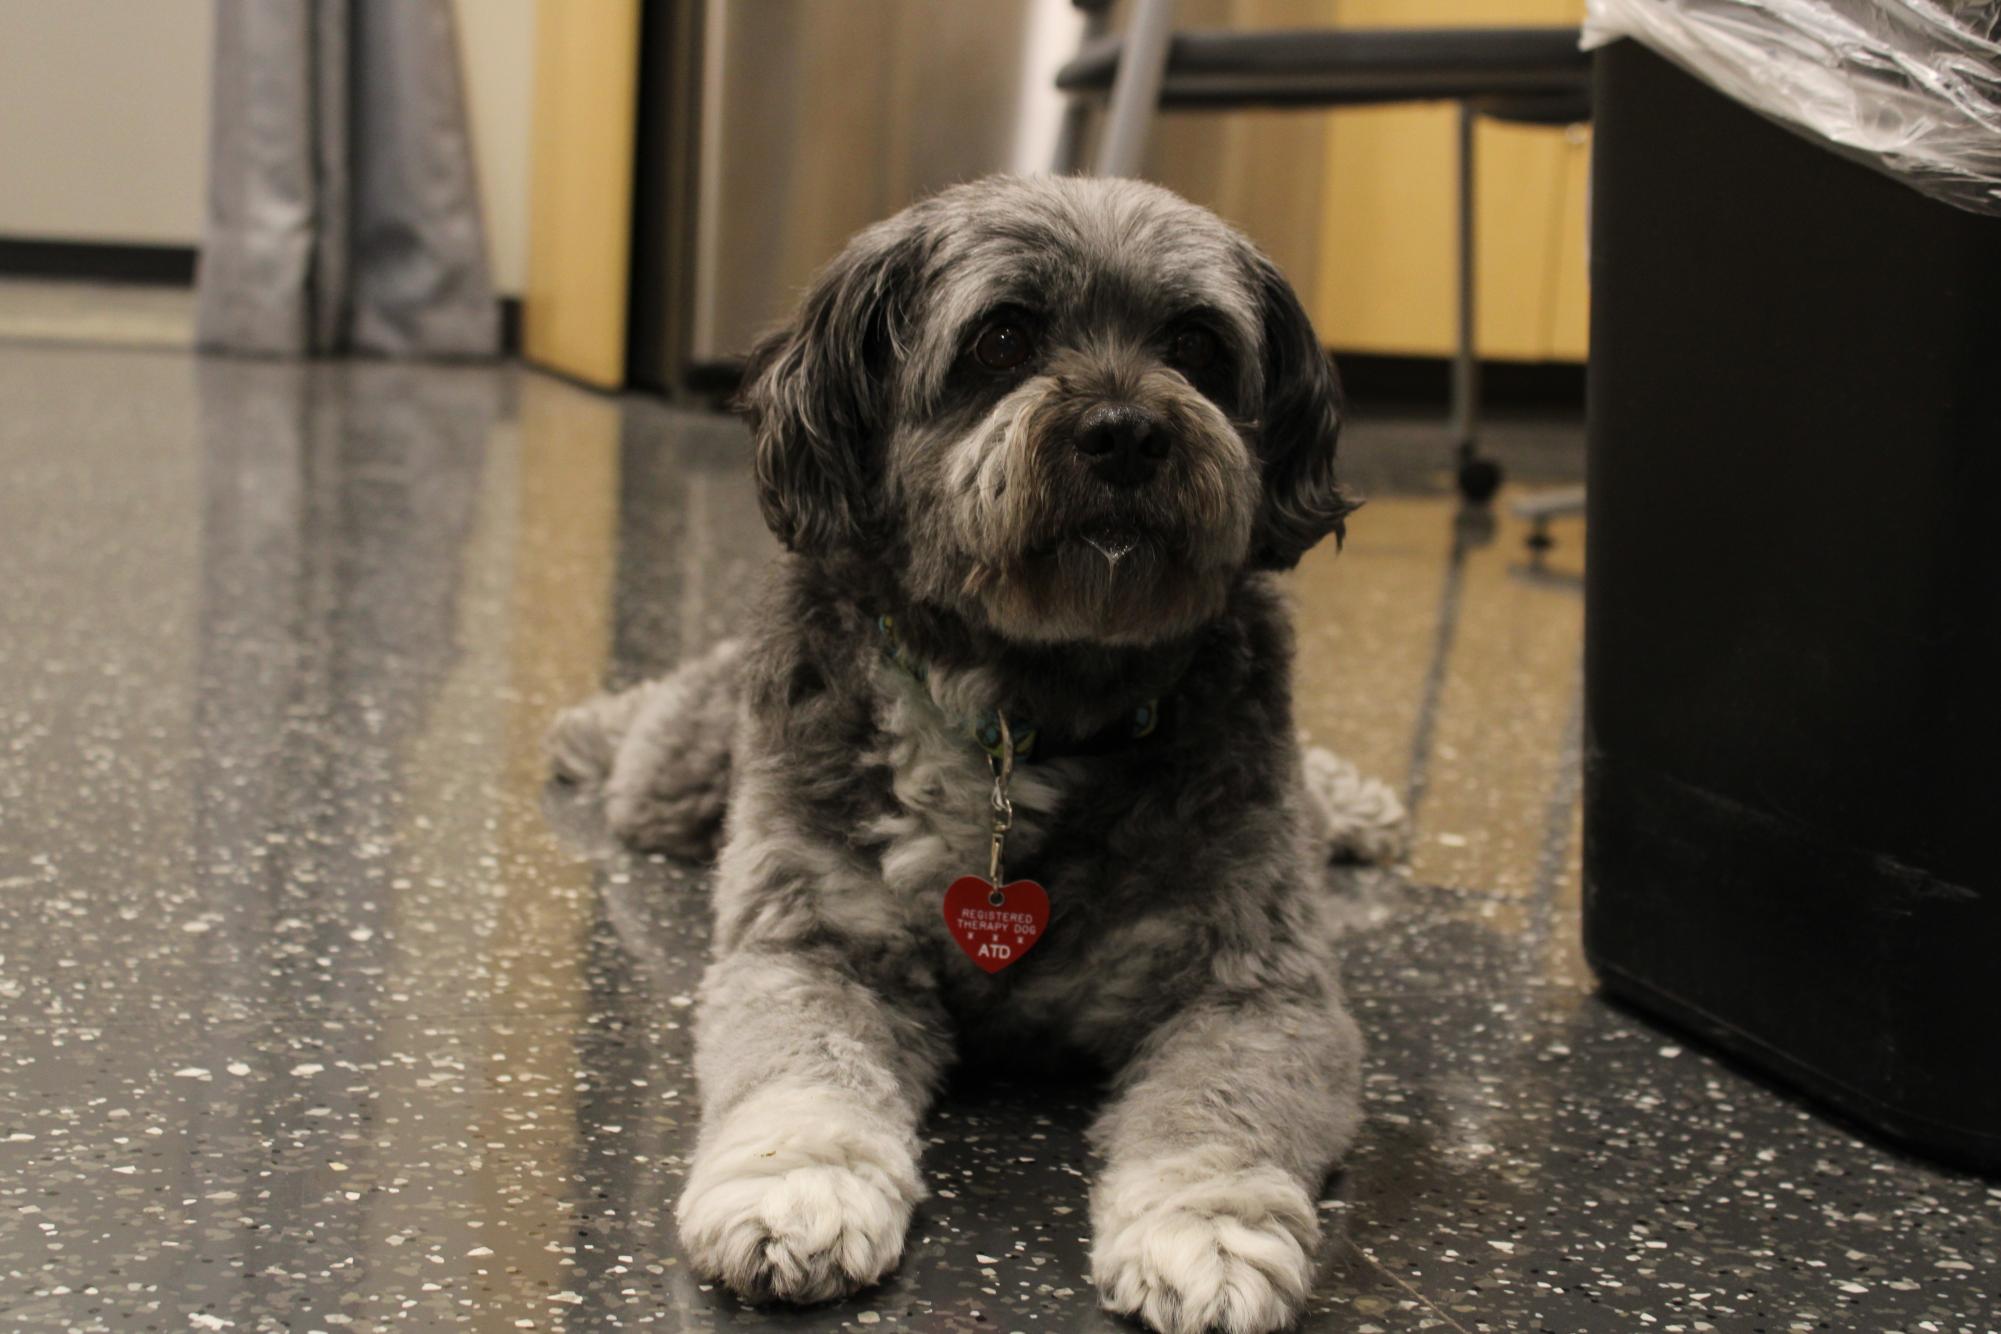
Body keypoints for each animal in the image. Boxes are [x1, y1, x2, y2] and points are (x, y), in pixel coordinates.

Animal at [548, 177, 1408, 1334]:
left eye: (1195, 344)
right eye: (1002, 337)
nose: (1125, 433)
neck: (1022, 710)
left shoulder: (1257, 987)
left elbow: (1218, 1114)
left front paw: (1209, 1229)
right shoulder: (813, 943)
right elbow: (802, 1072)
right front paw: (797, 1187)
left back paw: (1350, 806)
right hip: (677, 779)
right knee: (653, 729)